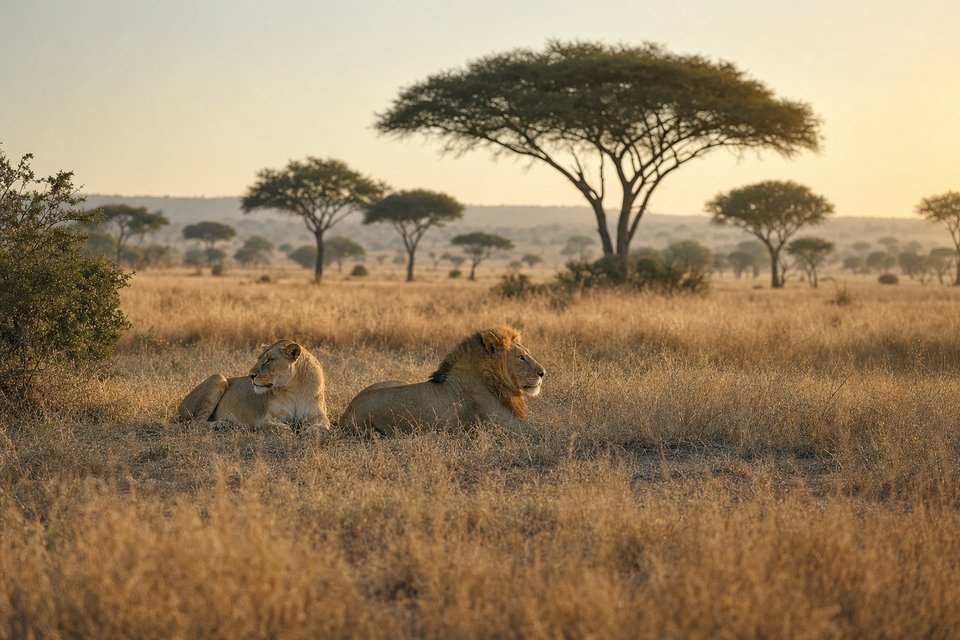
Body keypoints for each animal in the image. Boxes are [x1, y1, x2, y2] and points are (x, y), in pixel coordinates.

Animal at [177, 339, 331, 435]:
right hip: (218, 377)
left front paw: (313, 431)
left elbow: (325, 424)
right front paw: (287, 430)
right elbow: (271, 426)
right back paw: (221, 425)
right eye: (259, 358)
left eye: (269, 360)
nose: (250, 375)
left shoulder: (317, 414)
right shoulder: (265, 419)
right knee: (195, 423)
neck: (294, 387)